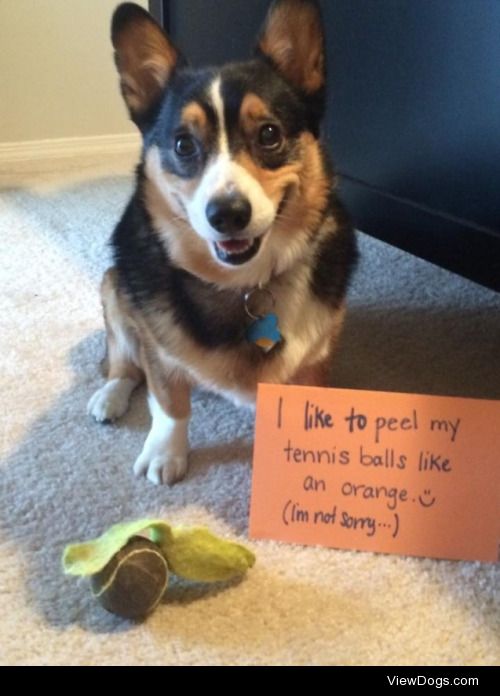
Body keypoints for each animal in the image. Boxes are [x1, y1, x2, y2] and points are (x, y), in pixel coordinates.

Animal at [87, 0, 357, 485]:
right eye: (183, 144)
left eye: (269, 133)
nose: (228, 213)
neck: (243, 286)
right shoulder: (157, 346)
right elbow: (169, 401)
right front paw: (166, 453)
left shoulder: (317, 355)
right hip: (114, 286)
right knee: (123, 361)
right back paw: (110, 396)